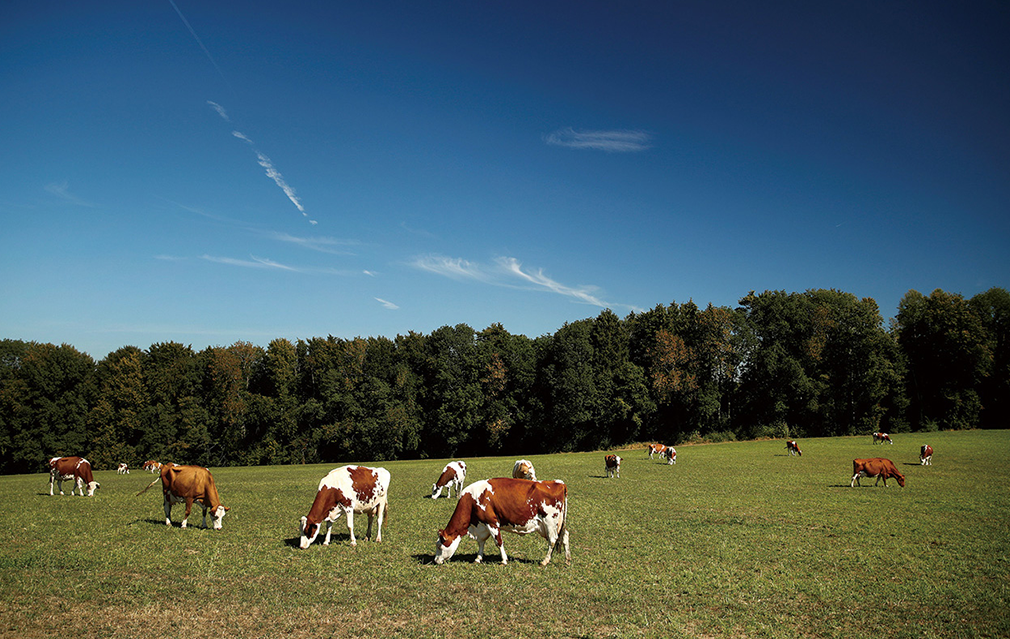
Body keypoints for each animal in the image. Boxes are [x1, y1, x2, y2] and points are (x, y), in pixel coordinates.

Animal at [432, 476, 569, 565]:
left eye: (439, 546)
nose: (435, 560)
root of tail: (559, 483)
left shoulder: (491, 522)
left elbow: (498, 542)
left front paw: (503, 560)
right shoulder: (482, 525)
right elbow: (481, 543)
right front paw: (478, 558)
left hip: (550, 522)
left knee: (553, 540)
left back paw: (545, 561)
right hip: (556, 524)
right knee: (565, 536)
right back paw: (567, 560)